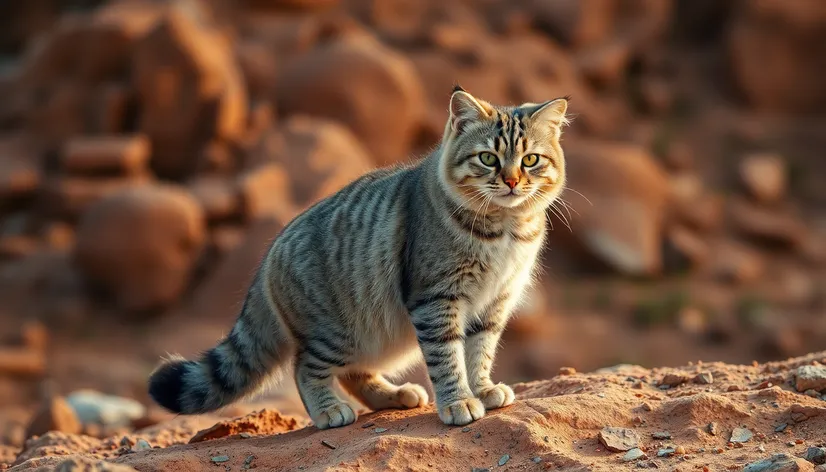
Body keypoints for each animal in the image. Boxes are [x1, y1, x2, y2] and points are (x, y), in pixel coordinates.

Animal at [148, 86, 568, 430]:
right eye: (488, 158)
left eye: (530, 160)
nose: (512, 181)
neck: (506, 230)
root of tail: (267, 257)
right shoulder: (437, 298)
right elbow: (448, 358)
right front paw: (459, 402)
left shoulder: (494, 302)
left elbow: (479, 352)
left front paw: (482, 390)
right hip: (338, 333)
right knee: (305, 368)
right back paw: (328, 411)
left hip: (375, 337)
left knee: (354, 374)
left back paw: (395, 396)